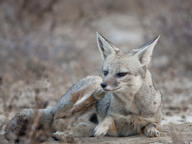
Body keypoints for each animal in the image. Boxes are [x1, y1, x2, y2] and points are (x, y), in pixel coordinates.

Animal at [4, 31, 162, 142]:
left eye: (121, 74)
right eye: (106, 72)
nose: (103, 85)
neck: (132, 108)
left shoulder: (151, 120)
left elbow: (151, 124)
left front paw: (152, 130)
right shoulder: (115, 125)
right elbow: (108, 119)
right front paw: (101, 127)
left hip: (81, 123)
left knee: (66, 124)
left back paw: (64, 135)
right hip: (87, 88)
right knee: (63, 115)